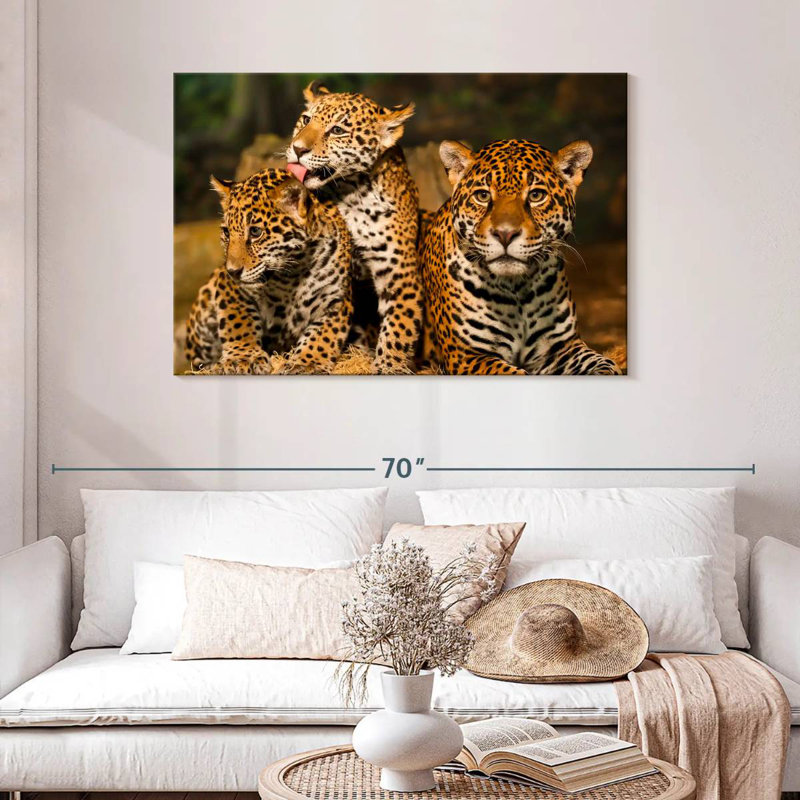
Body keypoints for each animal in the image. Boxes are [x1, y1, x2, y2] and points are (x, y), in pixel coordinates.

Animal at [185, 168, 353, 375]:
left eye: (256, 232)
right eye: (226, 232)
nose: (233, 271)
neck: (293, 272)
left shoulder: (336, 300)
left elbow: (323, 336)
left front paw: (307, 363)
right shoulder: (230, 288)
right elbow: (238, 321)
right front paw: (243, 358)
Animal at [285, 81, 423, 374]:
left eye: (338, 130)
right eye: (306, 120)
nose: (297, 149)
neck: (352, 194)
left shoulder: (401, 274)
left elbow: (399, 327)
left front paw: (389, 366)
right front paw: (305, 362)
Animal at [420, 138, 622, 375]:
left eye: (536, 196)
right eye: (482, 196)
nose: (505, 234)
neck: (517, 290)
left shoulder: (562, 347)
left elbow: (603, 364)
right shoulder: (467, 356)